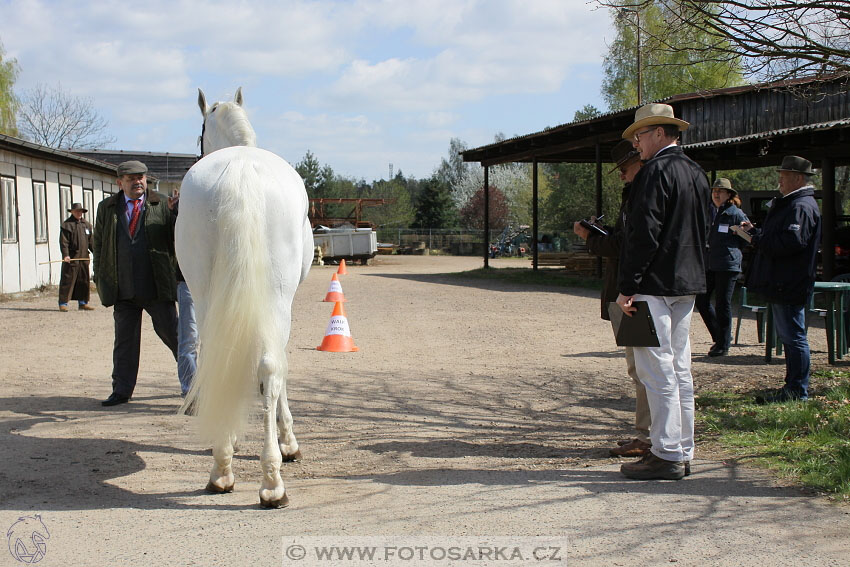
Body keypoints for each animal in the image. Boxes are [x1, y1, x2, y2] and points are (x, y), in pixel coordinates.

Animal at [177, 89, 314, 510]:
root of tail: (240, 172)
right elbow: (279, 372)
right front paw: (288, 443)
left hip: (207, 295)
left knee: (219, 360)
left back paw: (223, 470)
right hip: (275, 299)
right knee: (269, 368)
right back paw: (271, 483)